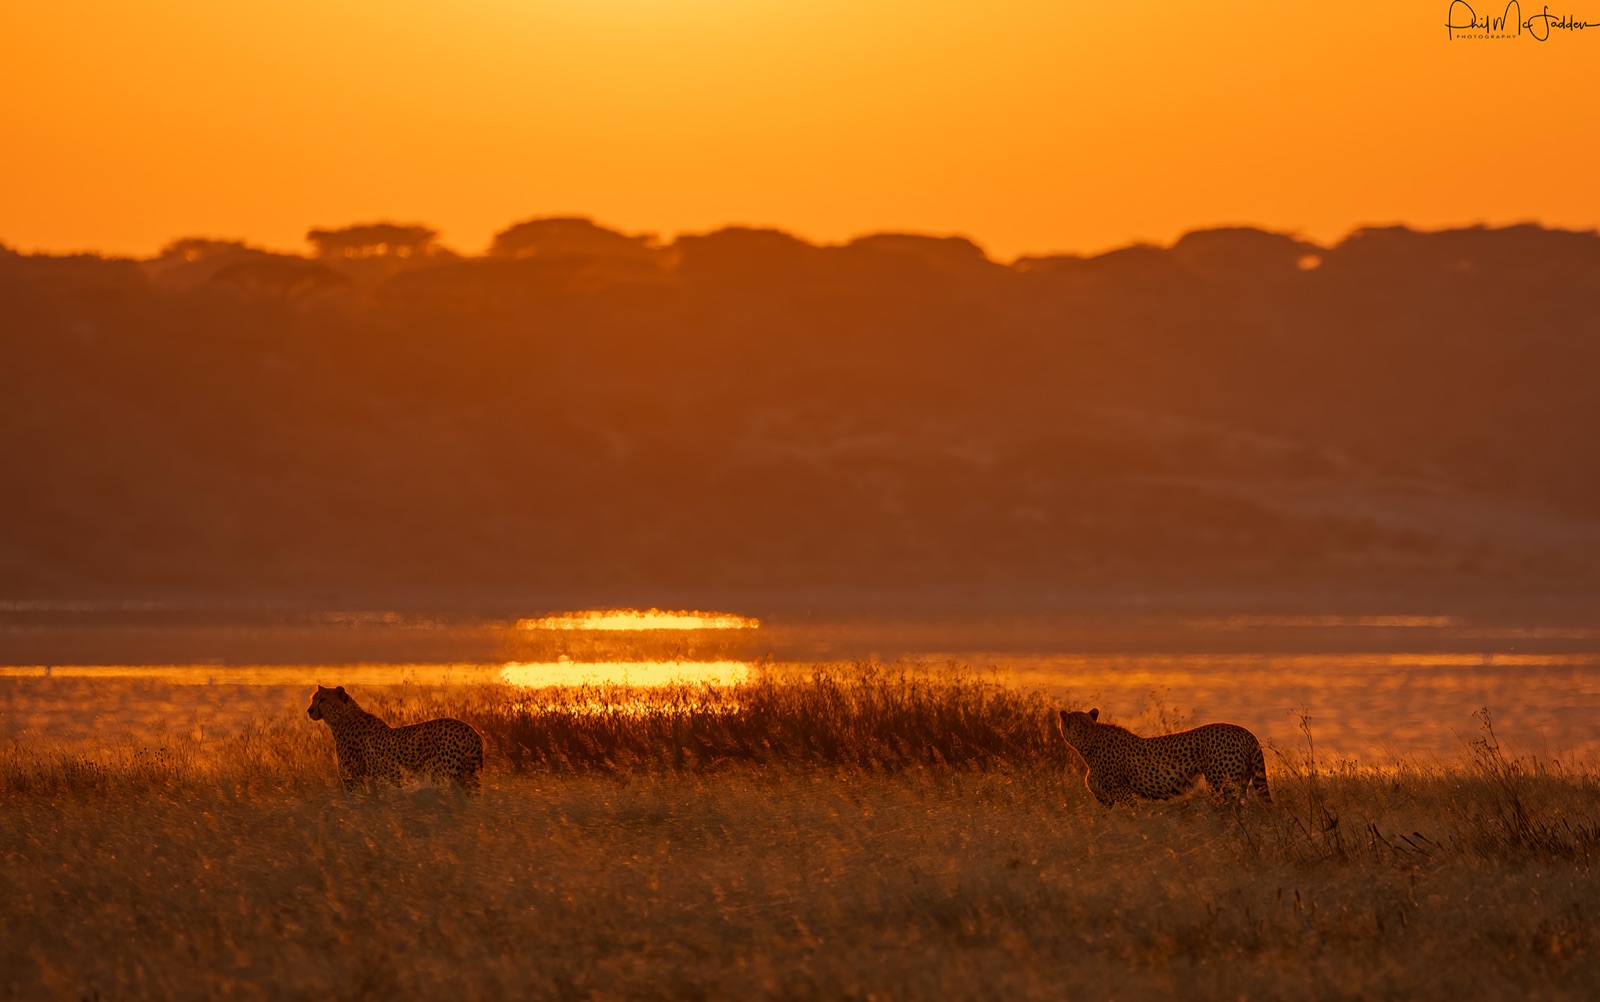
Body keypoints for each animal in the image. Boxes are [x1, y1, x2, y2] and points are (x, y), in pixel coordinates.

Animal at [307, 684, 484, 791]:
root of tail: (472, 731)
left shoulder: (354, 782)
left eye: (323, 699)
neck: (342, 719)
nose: (309, 710)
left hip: (444, 778)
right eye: (313, 699)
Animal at [1056, 708, 1271, 807]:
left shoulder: (1125, 795)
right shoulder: (1106, 799)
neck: (1088, 739)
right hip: (1240, 783)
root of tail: (1245, 731)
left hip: (1222, 786)